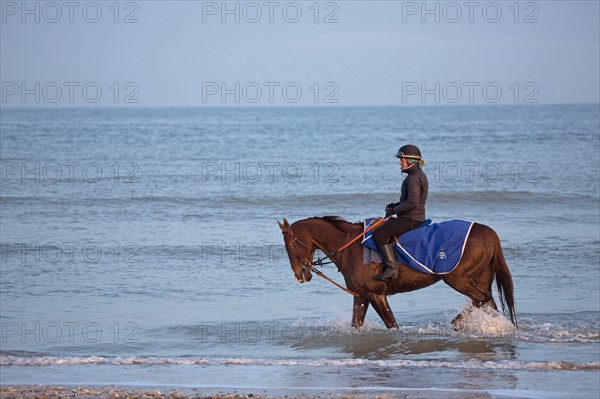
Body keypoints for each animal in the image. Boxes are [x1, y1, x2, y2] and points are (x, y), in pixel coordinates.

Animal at [276, 217, 516, 330]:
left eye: (289, 245)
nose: (300, 275)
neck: (349, 247)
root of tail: (487, 232)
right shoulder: (361, 296)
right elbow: (356, 324)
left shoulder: (376, 295)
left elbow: (392, 324)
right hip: (479, 278)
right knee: (488, 302)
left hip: (457, 278)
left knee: (482, 298)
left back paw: (456, 323)